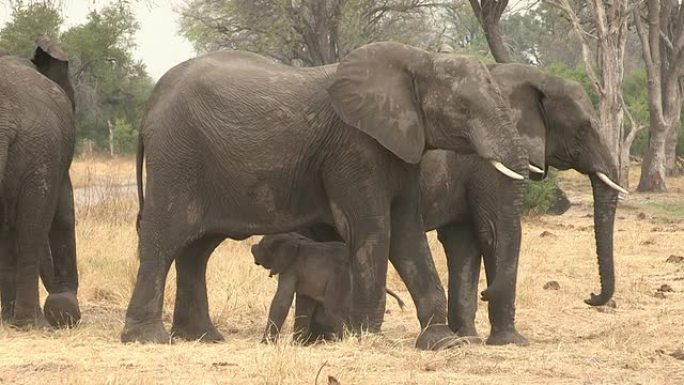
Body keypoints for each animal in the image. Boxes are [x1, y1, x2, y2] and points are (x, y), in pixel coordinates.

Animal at [0, 38, 81, 328]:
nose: (71, 314)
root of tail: (5, 120)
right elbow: (64, 211)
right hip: (40, 149)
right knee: (33, 230)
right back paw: (31, 322)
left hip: (36, 146)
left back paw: (14, 320)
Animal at [252, 231, 404, 342]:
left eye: (263, 244)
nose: (253, 247)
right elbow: (304, 303)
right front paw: (297, 344)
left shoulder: (290, 269)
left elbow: (282, 300)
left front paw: (266, 343)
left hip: (340, 278)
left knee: (332, 309)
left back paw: (348, 340)